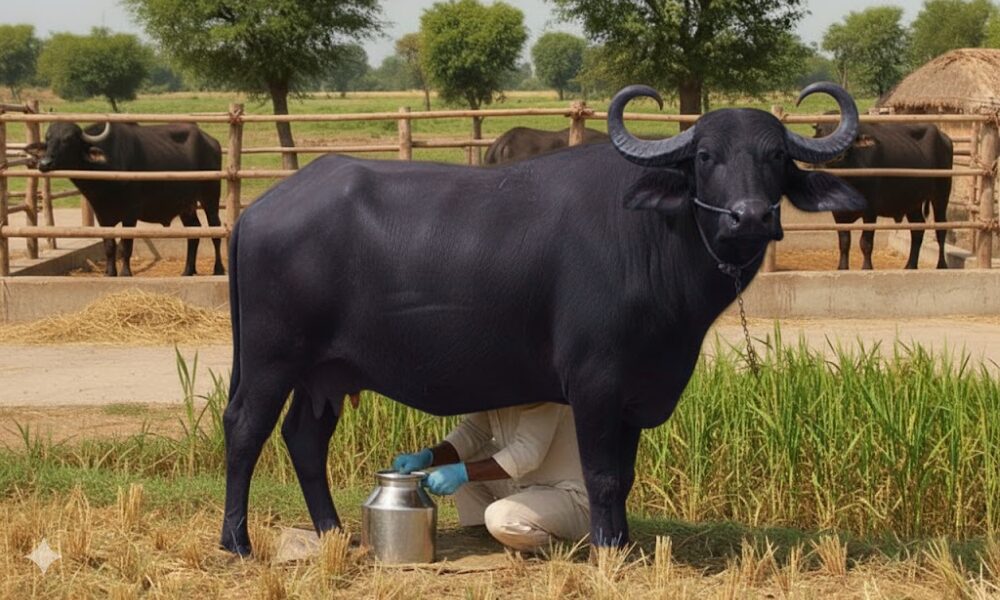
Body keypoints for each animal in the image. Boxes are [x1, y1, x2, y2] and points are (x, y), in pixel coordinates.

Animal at [31, 121, 224, 277]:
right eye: (48, 139)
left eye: (68, 139)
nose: (44, 163)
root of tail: (212, 142)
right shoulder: (102, 214)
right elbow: (109, 246)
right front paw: (109, 273)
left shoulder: (130, 213)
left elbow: (126, 245)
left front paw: (125, 272)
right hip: (186, 204)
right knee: (194, 232)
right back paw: (188, 271)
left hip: (210, 196)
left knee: (215, 230)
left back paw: (218, 269)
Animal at [219, 83, 864, 556]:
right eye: (706, 157)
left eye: (776, 156)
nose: (749, 217)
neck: (652, 238)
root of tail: (257, 212)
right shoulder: (596, 383)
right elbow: (603, 474)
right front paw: (606, 552)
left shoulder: (634, 390)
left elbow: (625, 474)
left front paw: (622, 543)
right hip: (272, 361)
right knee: (245, 430)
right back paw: (238, 541)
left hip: (325, 374)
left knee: (305, 439)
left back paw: (333, 533)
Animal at [814, 119, 953, 269]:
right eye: (822, 131)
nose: (837, 155)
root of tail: (944, 137)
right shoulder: (838, 212)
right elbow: (844, 242)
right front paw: (842, 268)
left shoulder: (870, 211)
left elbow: (866, 243)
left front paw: (867, 268)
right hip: (913, 201)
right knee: (917, 229)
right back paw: (910, 265)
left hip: (941, 194)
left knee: (941, 228)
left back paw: (941, 265)